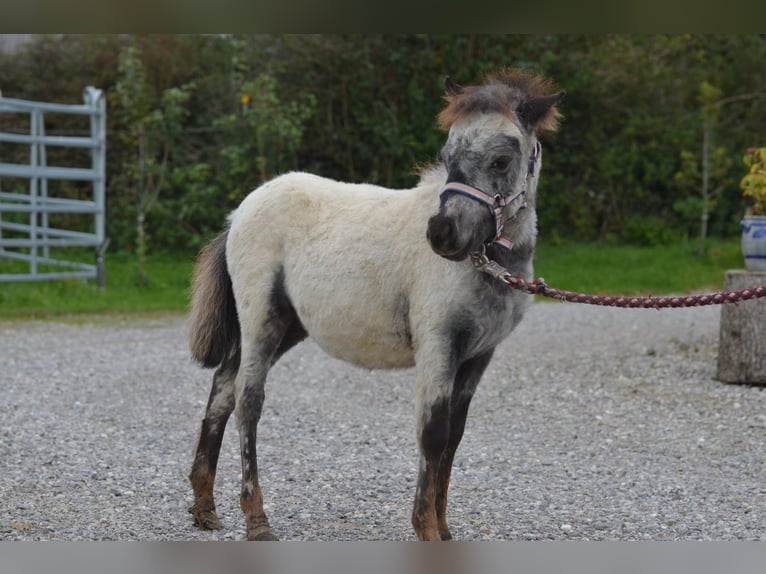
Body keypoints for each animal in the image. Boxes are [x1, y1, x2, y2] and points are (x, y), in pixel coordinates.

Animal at [189, 70, 568, 544]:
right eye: (447, 155)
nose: (442, 234)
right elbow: (433, 432)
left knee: (222, 390)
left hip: (287, 326)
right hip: (262, 319)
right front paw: (426, 529)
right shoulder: (438, 345)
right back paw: (257, 521)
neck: (487, 266)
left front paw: (443, 529)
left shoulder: (478, 355)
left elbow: (455, 435)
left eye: (501, 160)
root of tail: (240, 211)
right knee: (247, 400)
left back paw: (205, 507)